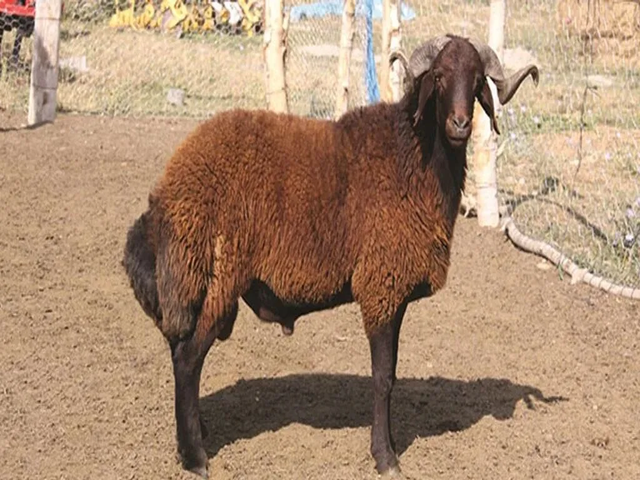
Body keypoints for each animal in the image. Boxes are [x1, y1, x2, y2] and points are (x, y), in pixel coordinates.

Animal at [122, 33, 539, 479]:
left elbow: (392, 373)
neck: (412, 153)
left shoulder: (395, 294)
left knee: (178, 347)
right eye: (439, 77)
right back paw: (195, 457)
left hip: (196, 282)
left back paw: (195, 431)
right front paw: (385, 457)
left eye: (478, 81)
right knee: (187, 358)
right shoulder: (379, 287)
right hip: (215, 279)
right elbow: (383, 378)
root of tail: (168, 189)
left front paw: (390, 447)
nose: (460, 125)